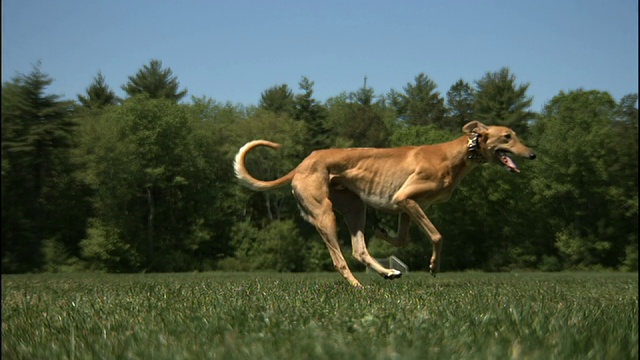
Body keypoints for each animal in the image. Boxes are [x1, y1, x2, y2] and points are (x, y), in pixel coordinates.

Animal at [234, 121, 536, 286]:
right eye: (507, 136)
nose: (532, 154)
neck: (456, 155)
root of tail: (301, 165)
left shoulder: (407, 206)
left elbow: (400, 240)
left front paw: (381, 233)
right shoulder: (406, 199)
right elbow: (437, 235)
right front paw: (433, 266)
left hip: (355, 207)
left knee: (359, 251)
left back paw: (388, 272)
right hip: (325, 214)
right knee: (339, 260)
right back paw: (358, 286)